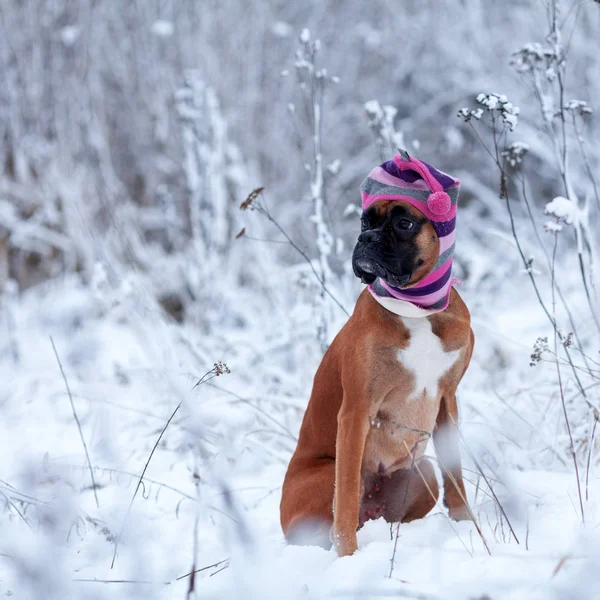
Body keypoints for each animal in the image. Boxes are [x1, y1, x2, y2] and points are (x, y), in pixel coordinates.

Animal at [282, 198, 474, 556]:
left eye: (404, 223)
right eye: (364, 222)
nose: (365, 238)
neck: (417, 309)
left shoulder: (447, 401)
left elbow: (454, 473)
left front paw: (466, 523)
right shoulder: (356, 411)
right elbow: (343, 503)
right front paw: (348, 556)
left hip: (422, 473)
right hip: (329, 474)